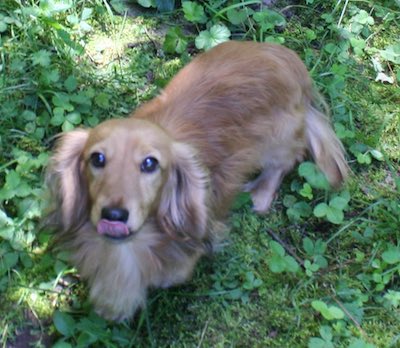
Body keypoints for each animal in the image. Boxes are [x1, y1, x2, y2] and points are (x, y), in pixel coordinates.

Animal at [45, 40, 348, 320]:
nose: (114, 215)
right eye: (97, 159)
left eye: (150, 163)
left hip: (277, 138)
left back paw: (261, 193)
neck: (132, 247)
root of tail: (284, 55)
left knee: (288, 157)